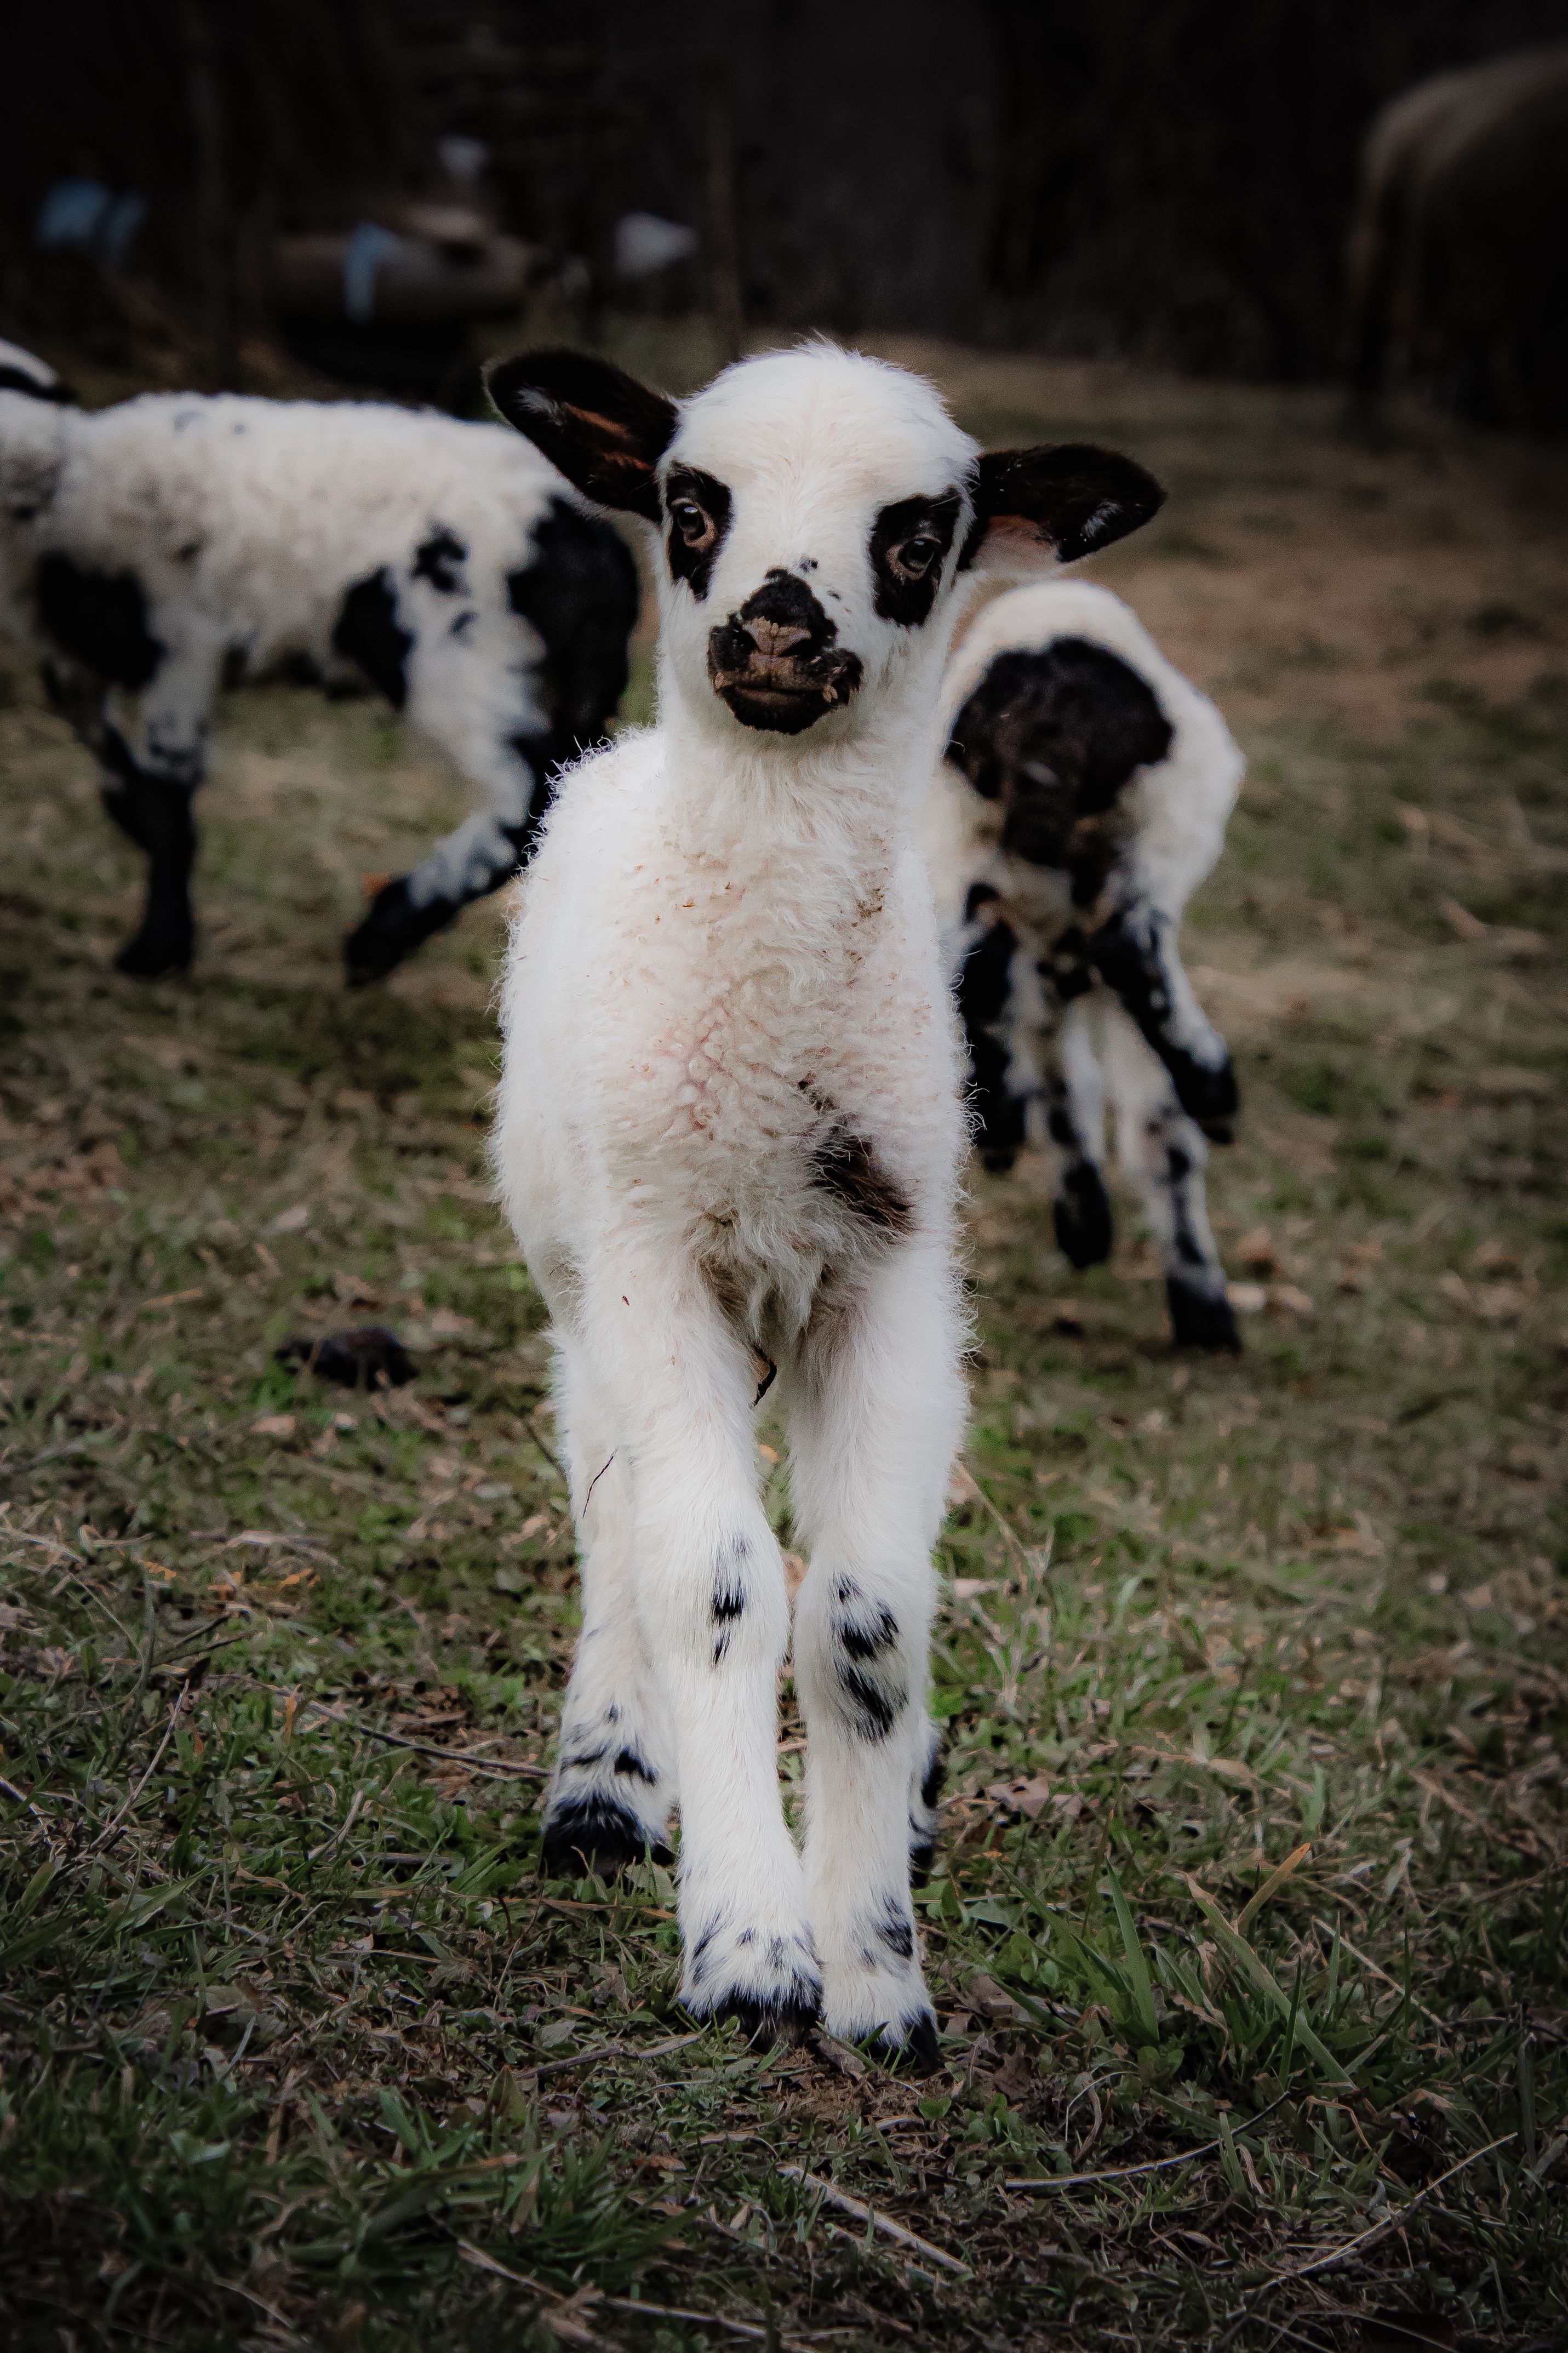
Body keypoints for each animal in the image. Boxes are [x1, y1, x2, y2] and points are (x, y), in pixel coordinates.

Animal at [0, 337, 638, 982]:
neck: (68, 483)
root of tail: (591, 542)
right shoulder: (72, 666)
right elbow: (121, 784)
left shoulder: (183, 646)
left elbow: (165, 799)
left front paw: (157, 949)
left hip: (460, 653)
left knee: (526, 787)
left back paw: (382, 934)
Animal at [483, 342, 1163, 2062]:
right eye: (688, 504)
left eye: (918, 534)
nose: (779, 623)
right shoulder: (657, 1258)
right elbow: (715, 1585)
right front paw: (748, 1948)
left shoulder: (891, 1276)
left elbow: (860, 1621)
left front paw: (874, 1973)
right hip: (578, 1273)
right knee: (612, 1511)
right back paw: (607, 1778)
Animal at [922, 579, 1243, 1351]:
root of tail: (1045, 710)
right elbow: (1151, 1122)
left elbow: (1065, 1080)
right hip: (1160, 826)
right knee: (1129, 949)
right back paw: (1216, 1092)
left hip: (962, 844)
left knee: (965, 974)